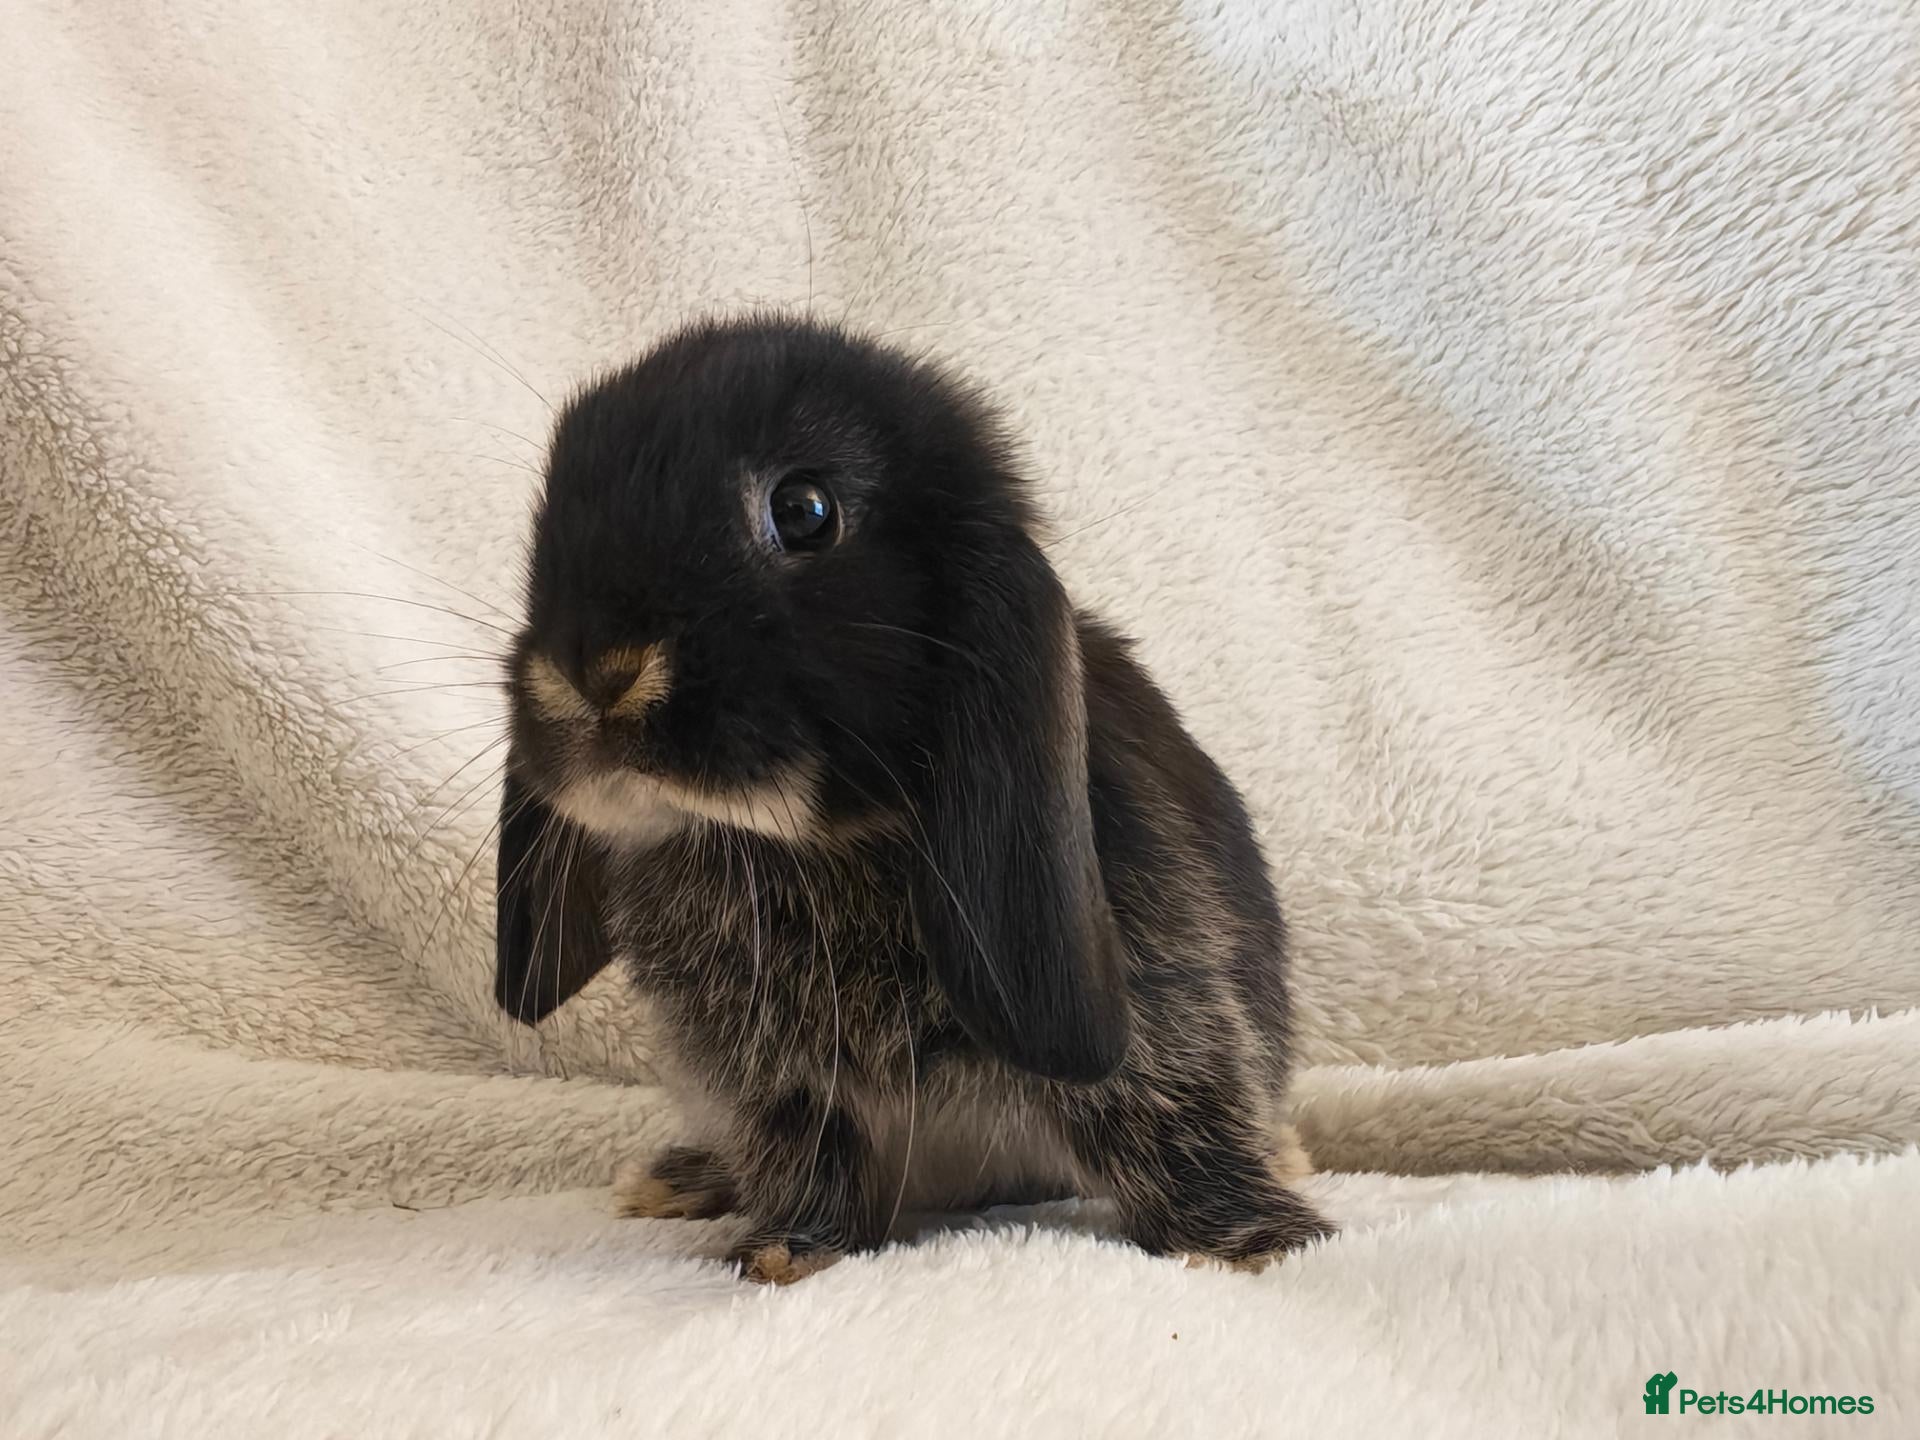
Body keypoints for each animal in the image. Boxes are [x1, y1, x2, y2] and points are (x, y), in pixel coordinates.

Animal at [494, 314, 1334, 1283]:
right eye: (549, 519)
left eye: (804, 511)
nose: (593, 671)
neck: (820, 843)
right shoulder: (771, 1074)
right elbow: (801, 1146)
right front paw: (786, 1253)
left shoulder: (1161, 999)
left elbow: (1167, 1108)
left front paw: (1255, 1242)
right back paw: (680, 1179)